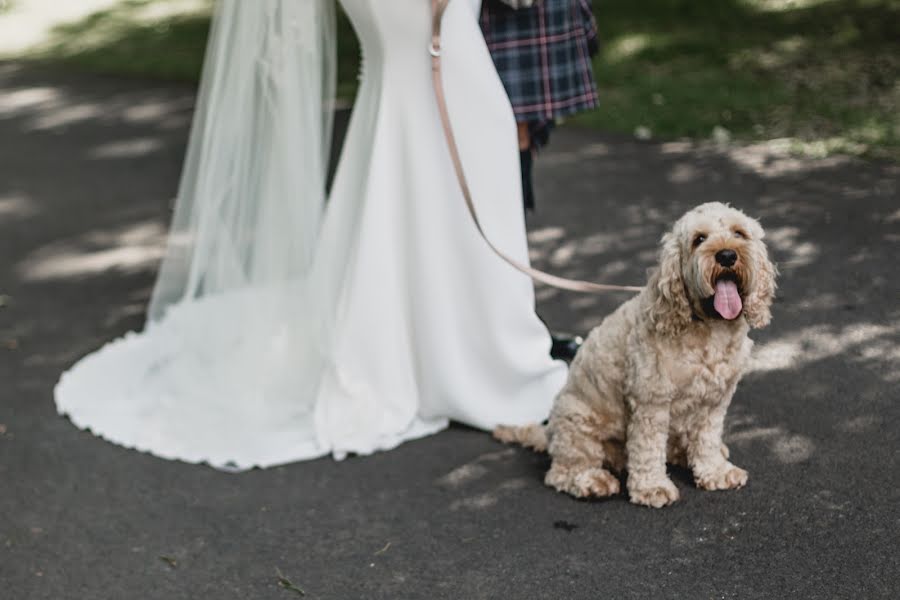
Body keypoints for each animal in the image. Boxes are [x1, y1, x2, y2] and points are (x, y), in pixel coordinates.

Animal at [496, 202, 776, 506]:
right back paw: (592, 481)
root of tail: (549, 432)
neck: (708, 328)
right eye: (699, 239)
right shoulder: (651, 402)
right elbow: (648, 449)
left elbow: (707, 440)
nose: (726, 255)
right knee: (561, 472)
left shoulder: (715, 401)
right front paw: (653, 487)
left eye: (739, 233)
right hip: (578, 424)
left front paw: (715, 471)